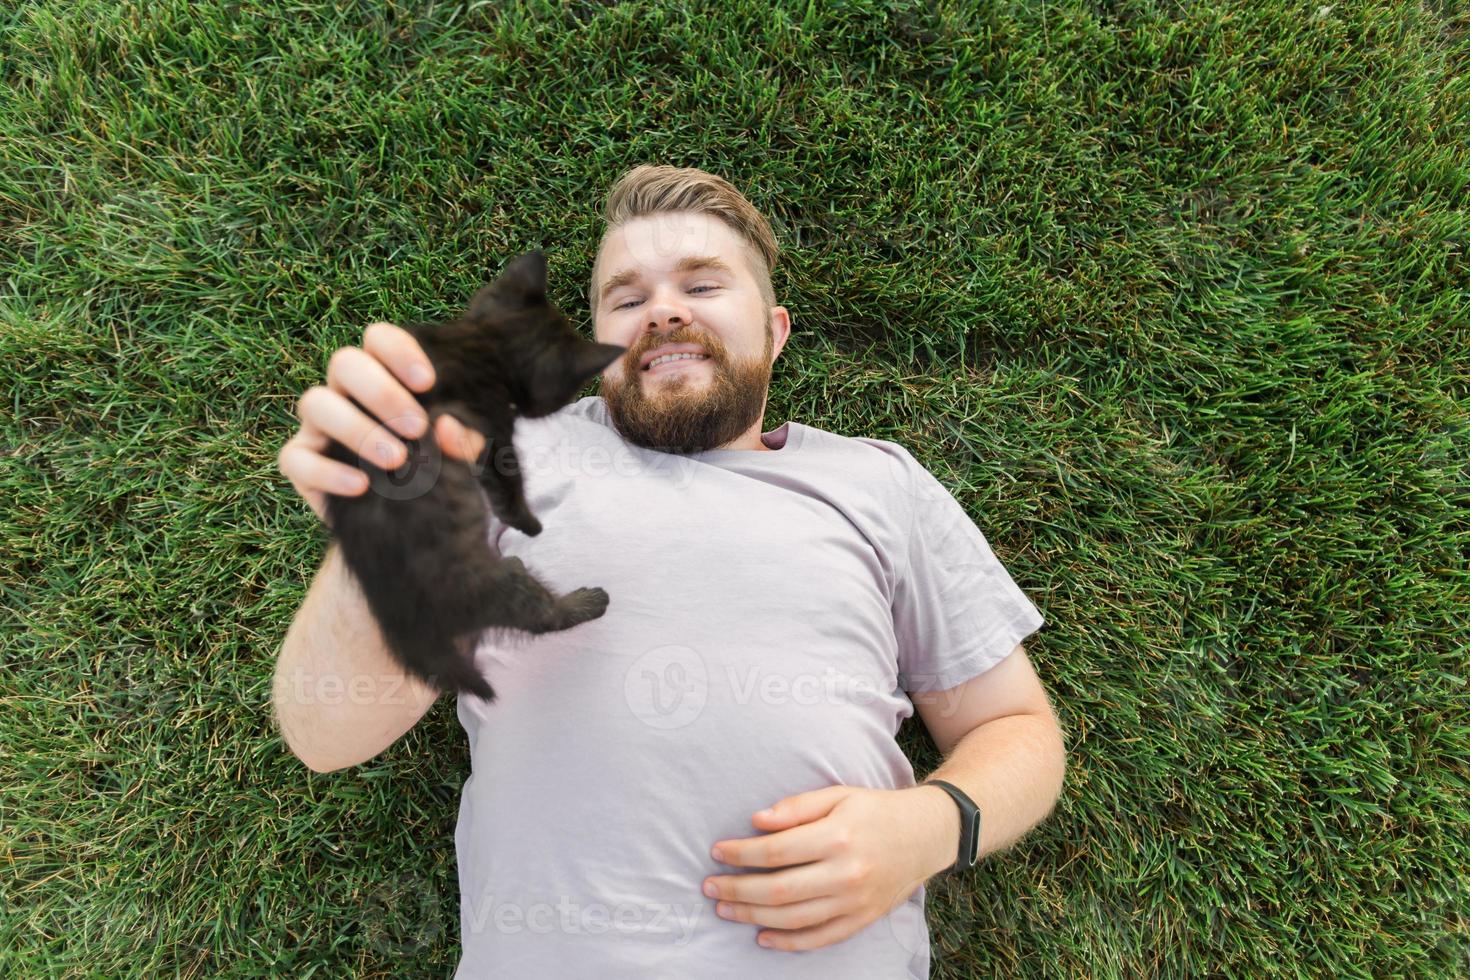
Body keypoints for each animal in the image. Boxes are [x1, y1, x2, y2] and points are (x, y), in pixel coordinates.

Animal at [321, 249, 626, 702]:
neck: (483, 344)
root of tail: (403, 627)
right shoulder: (493, 433)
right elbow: (507, 484)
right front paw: (530, 524)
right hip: (487, 588)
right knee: (540, 617)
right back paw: (585, 601)